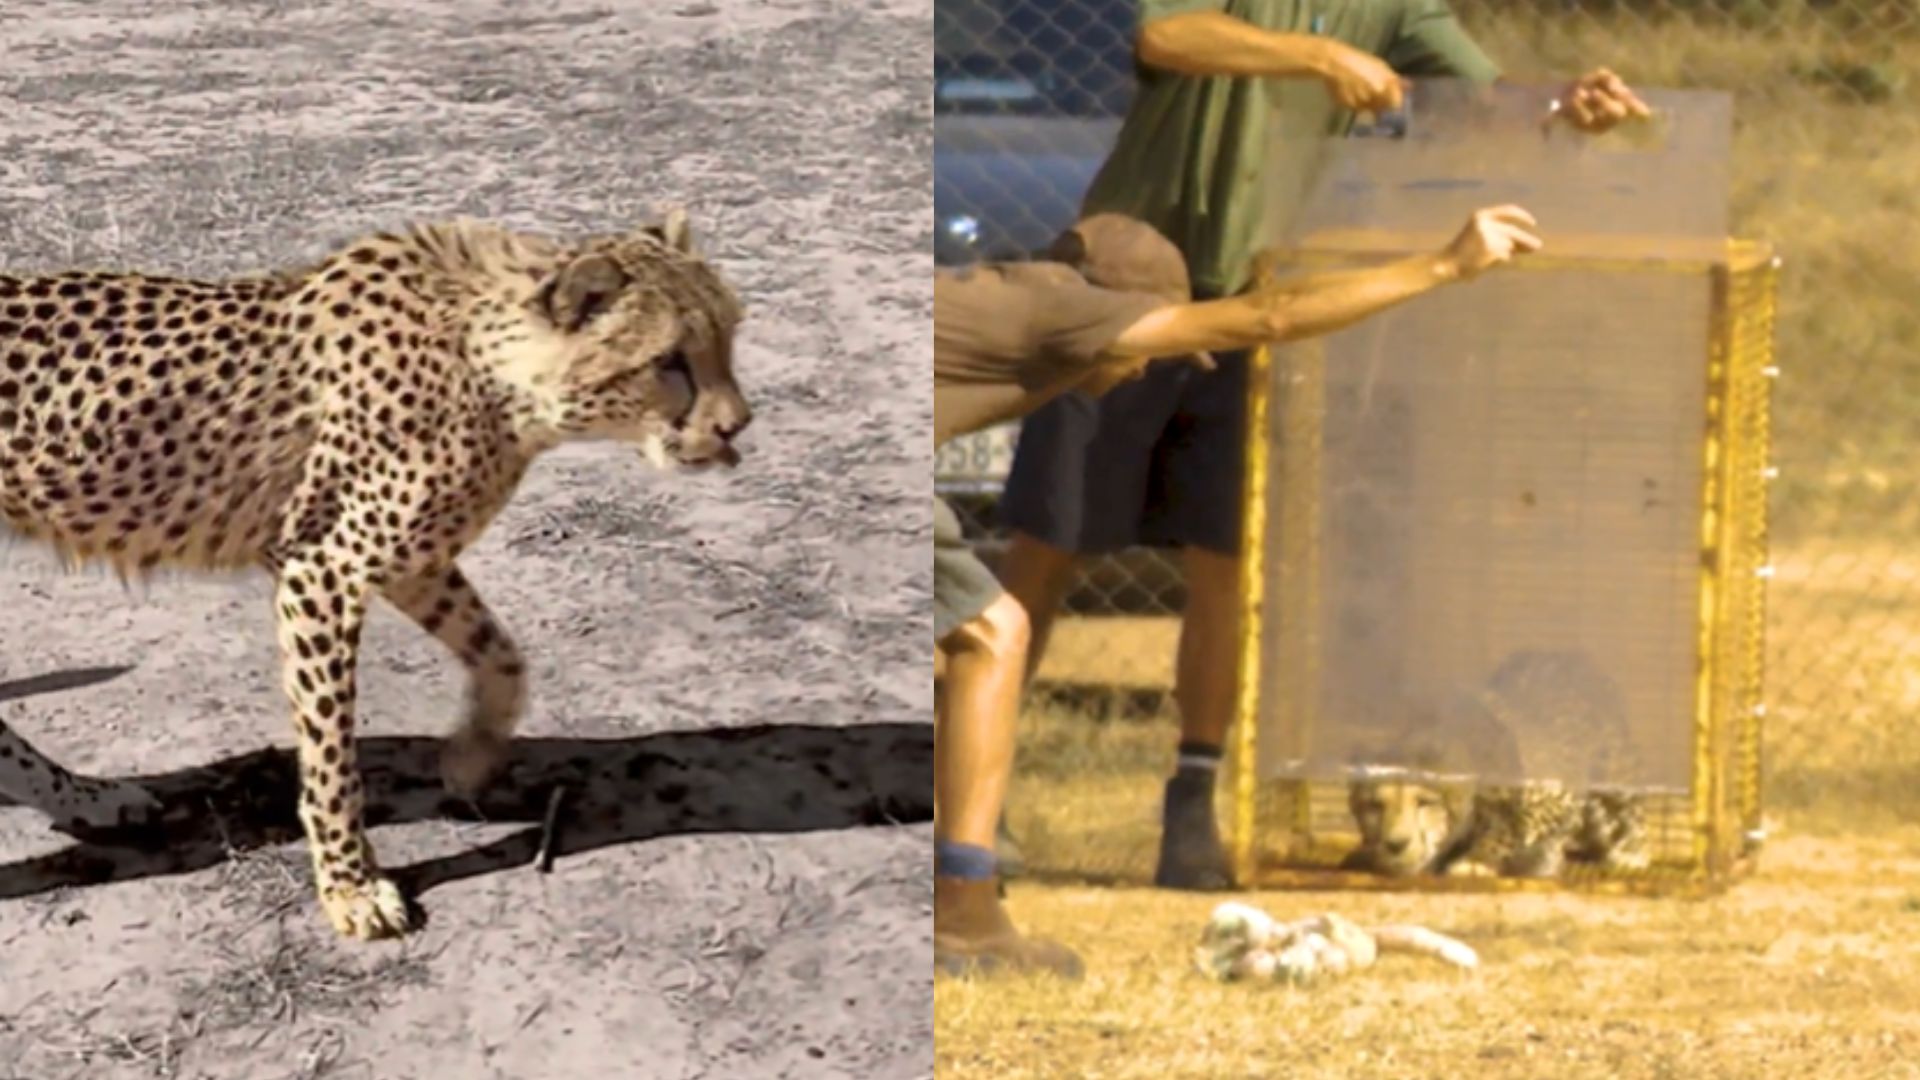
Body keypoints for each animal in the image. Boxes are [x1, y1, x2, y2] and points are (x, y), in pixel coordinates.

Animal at [0, 207, 750, 940]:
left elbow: (503, 656)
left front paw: (470, 758)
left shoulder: (406, 560)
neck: (493, 367)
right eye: (668, 361)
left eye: (729, 335)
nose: (739, 425)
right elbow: (332, 754)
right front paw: (351, 889)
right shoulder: (320, 568)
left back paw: (92, 800)